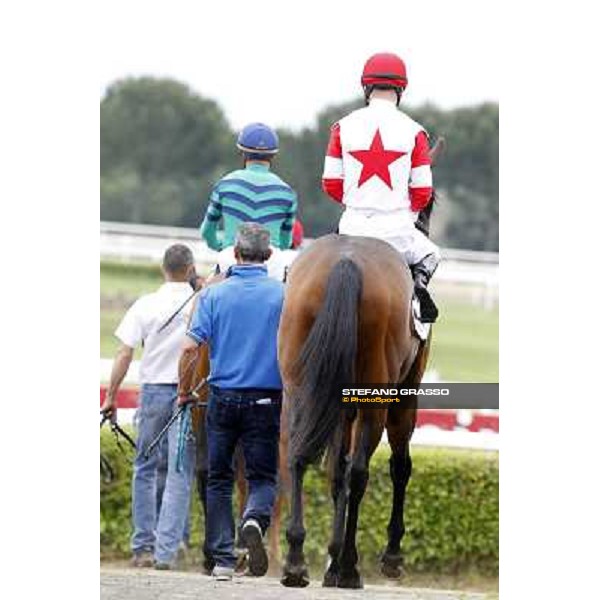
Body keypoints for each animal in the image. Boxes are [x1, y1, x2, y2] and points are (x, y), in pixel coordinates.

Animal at [276, 232, 432, 588]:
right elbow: (399, 467)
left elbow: (335, 471)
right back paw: (349, 566)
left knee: (297, 456)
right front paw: (388, 556)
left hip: (298, 389)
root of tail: (347, 261)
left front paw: (331, 561)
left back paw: (296, 561)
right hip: (375, 401)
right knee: (360, 472)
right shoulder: (403, 398)